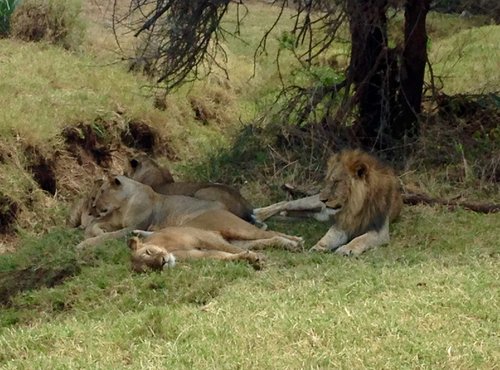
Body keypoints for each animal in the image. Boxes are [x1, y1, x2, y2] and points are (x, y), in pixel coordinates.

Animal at [76, 175, 302, 253]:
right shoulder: (115, 221)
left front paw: (84, 243)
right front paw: (92, 231)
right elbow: (96, 227)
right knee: (265, 238)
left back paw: (296, 241)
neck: (122, 204)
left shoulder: (134, 225)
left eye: (102, 191)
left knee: (268, 232)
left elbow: (107, 236)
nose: (94, 206)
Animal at [254, 149, 402, 256]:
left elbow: (361, 239)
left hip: (317, 213)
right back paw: (258, 214)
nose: (322, 199)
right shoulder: (342, 225)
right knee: (284, 203)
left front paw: (347, 249)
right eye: (328, 181)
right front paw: (318, 247)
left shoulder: (380, 230)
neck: (355, 206)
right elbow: (329, 237)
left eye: (336, 182)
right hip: (311, 203)